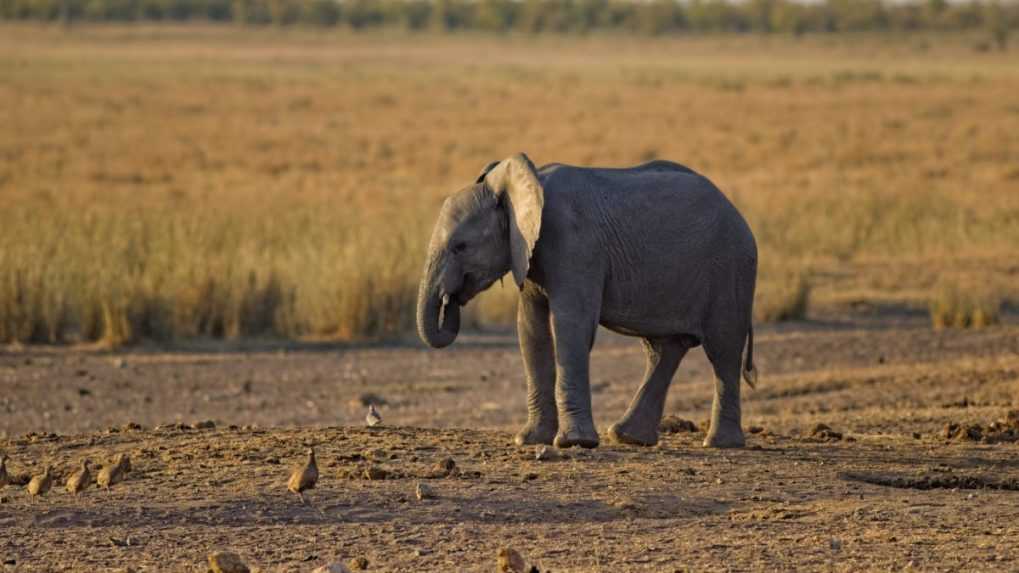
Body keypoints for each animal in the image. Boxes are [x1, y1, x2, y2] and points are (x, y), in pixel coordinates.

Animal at [413, 153, 758, 448]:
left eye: (460, 246)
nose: (450, 300)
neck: (519, 185)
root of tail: (739, 215)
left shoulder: (573, 243)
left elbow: (570, 327)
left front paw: (573, 443)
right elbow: (531, 330)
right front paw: (530, 440)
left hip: (731, 269)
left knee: (723, 350)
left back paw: (719, 443)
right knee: (664, 349)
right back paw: (627, 437)